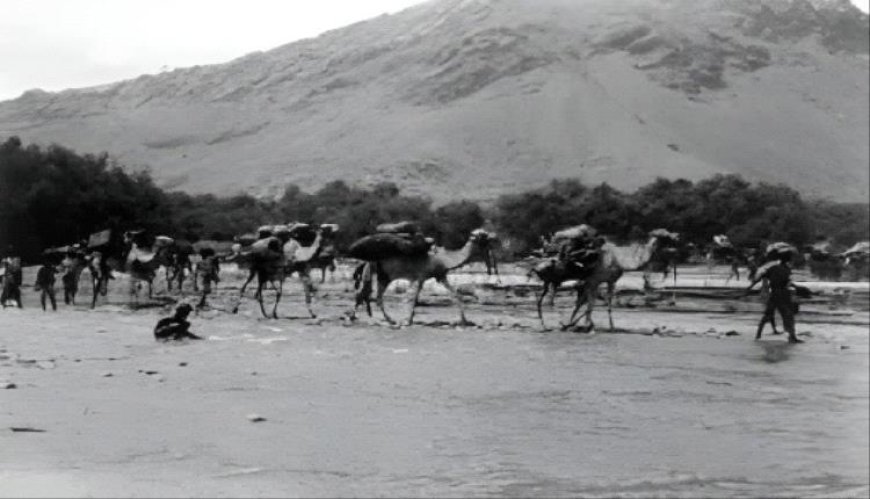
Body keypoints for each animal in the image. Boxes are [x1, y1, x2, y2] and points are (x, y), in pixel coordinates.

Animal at [350, 229, 494, 326]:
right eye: (483, 236)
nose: (493, 237)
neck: (444, 259)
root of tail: (365, 262)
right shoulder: (421, 276)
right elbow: (413, 299)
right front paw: (408, 320)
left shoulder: (440, 276)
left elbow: (455, 294)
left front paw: (465, 320)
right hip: (382, 274)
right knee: (370, 296)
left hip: (382, 275)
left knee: (370, 296)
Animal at [532, 230, 680, 332]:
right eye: (666, 236)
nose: (676, 237)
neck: (619, 260)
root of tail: (536, 266)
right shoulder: (594, 280)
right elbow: (590, 304)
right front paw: (586, 326)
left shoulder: (608, 281)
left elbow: (604, 304)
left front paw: (610, 327)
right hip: (548, 280)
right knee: (541, 301)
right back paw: (544, 326)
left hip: (550, 281)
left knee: (544, 300)